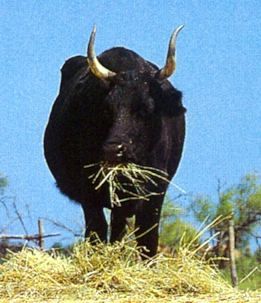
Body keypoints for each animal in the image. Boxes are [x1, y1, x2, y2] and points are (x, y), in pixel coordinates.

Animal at [43, 27, 185, 258]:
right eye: (107, 108)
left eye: (146, 109)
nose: (113, 150)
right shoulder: (88, 189)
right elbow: (97, 231)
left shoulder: (156, 189)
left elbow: (147, 237)